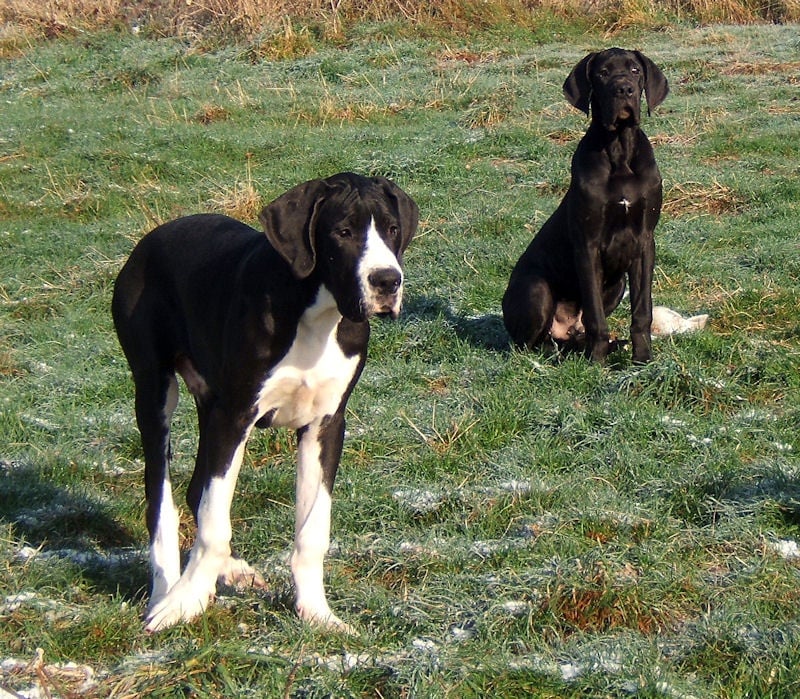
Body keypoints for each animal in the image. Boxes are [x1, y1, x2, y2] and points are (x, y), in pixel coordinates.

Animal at [115, 172, 422, 632]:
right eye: (343, 232)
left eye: (391, 228)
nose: (387, 280)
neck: (316, 315)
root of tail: (151, 238)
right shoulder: (235, 416)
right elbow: (213, 524)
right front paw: (186, 601)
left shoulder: (325, 425)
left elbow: (313, 529)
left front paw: (316, 611)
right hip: (155, 394)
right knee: (162, 501)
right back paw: (165, 593)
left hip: (210, 403)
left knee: (197, 489)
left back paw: (230, 571)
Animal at [506, 48, 668, 364]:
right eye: (602, 73)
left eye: (635, 71)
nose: (624, 90)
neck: (618, 148)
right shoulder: (588, 245)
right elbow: (595, 315)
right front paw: (597, 362)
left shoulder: (645, 242)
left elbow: (642, 310)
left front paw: (643, 358)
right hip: (536, 288)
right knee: (529, 344)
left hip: (617, 286)